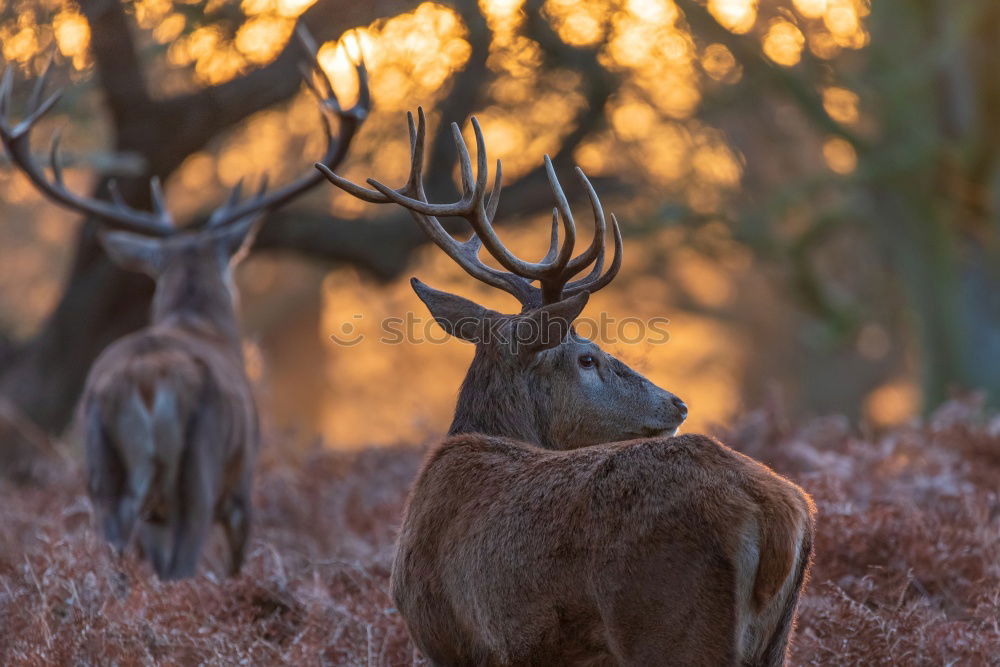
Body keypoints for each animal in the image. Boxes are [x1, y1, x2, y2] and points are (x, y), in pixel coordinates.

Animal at [0, 30, 368, 580]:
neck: (196, 321)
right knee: (182, 566)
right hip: (200, 470)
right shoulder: (243, 484)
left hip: (100, 468)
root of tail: (146, 381)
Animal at [324, 111, 816, 667]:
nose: (678, 403)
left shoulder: (448, 641)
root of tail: (779, 513)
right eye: (587, 358)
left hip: (670, 625)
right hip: (776, 638)